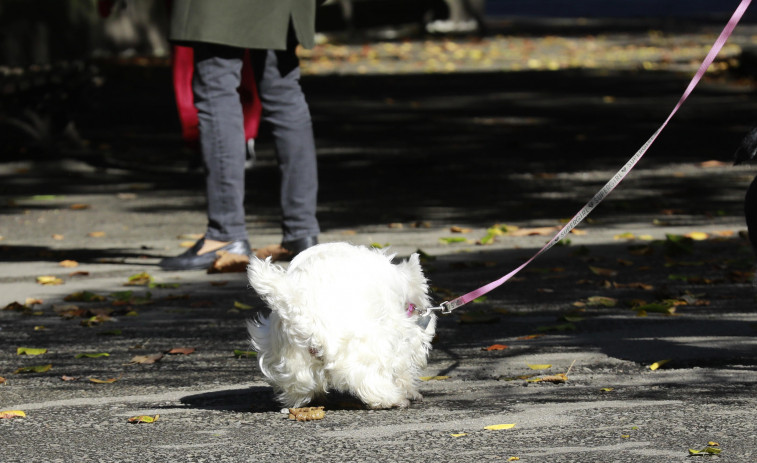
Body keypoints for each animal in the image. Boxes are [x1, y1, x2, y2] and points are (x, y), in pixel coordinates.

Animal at [248, 243, 438, 410]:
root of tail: (301, 307)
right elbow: (401, 367)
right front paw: (410, 390)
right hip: (363, 344)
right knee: (368, 379)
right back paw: (392, 400)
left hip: (289, 357)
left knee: (299, 387)